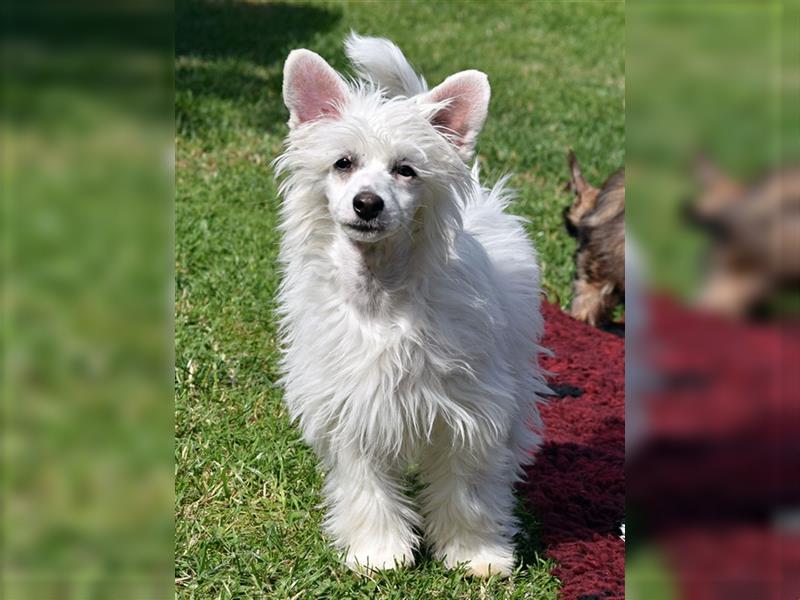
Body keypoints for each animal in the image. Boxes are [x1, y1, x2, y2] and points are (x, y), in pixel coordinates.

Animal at [276, 32, 552, 576]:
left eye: (406, 170)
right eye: (343, 163)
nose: (367, 203)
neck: (382, 294)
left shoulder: (471, 412)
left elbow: (468, 489)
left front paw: (476, 553)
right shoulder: (353, 406)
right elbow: (365, 486)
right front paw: (378, 551)